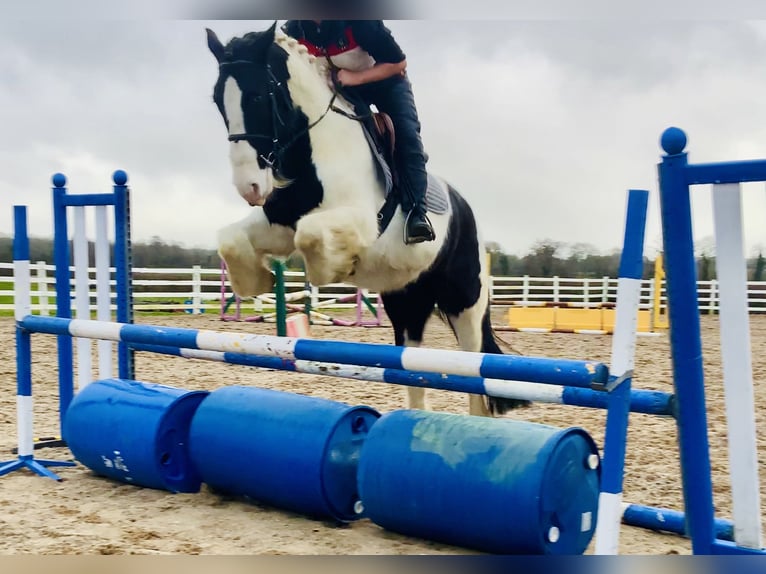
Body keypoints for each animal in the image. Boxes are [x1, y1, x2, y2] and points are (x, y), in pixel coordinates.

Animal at [206, 23, 527, 416]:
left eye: (256, 97)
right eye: (218, 100)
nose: (249, 187)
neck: (315, 149)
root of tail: (468, 212)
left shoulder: (360, 221)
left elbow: (310, 237)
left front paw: (334, 269)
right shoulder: (279, 223)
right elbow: (231, 239)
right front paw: (257, 282)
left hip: (464, 302)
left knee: (476, 371)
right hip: (408, 302)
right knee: (415, 369)